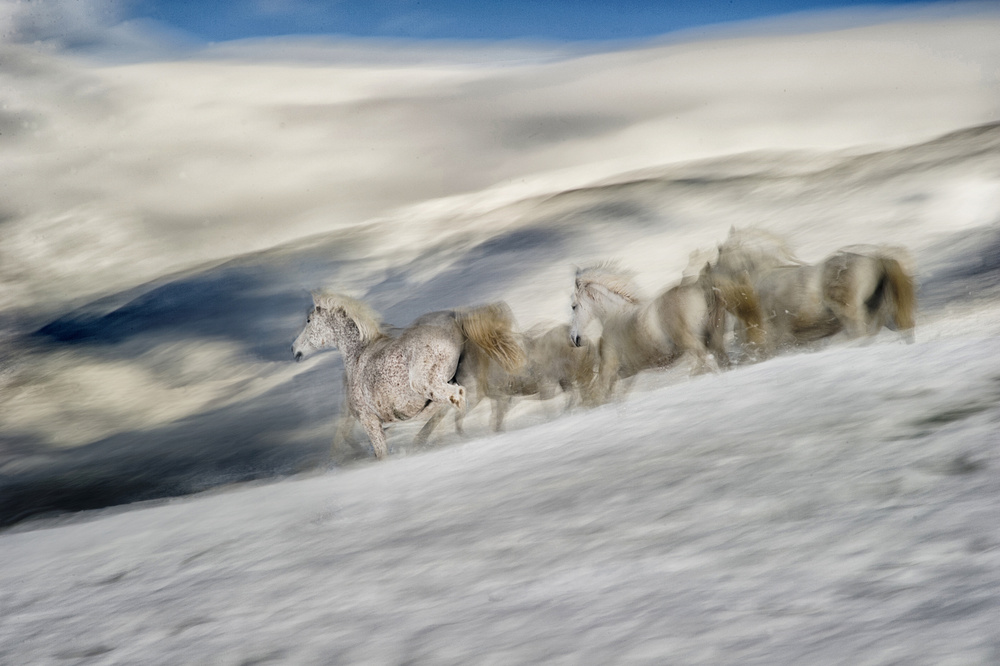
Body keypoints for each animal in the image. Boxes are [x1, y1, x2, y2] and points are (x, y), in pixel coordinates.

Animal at [292, 294, 524, 460]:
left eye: (309, 320)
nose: (294, 349)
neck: (357, 355)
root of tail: (455, 317)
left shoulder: (369, 420)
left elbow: (381, 454)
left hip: (427, 384)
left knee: (457, 400)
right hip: (466, 384)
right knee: (464, 404)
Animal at [572, 262, 756, 402]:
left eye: (573, 306)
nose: (575, 339)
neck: (614, 316)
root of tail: (703, 288)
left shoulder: (610, 369)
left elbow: (605, 397)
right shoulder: (628, 373)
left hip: (692, 342)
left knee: (710, 362)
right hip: (714, 338)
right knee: (722, 362)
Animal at [712, 226, 916, 356]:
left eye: (720, 250)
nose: (713, 283)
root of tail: (875, 260)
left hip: (850, 314)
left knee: (860, 335)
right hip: (879, 315)